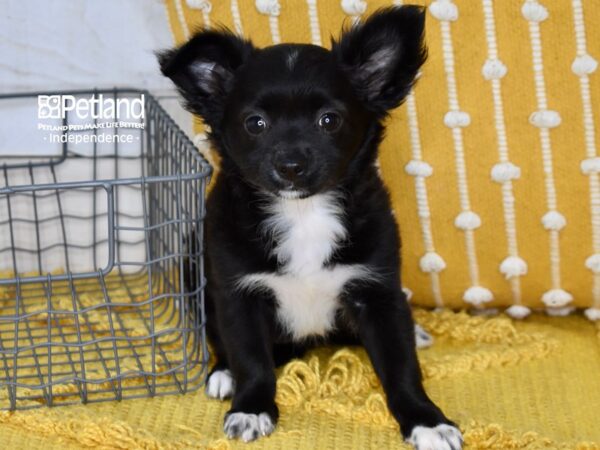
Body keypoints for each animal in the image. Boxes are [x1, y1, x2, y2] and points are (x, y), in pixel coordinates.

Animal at [158, 7, 460, 450]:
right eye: (255, 123)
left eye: (328, 120)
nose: (291, 166)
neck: (302, 214)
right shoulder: (238, 295)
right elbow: (251, 359)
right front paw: (251, 408)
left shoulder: (377, 291)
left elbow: (401, 364)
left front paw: (426, 420)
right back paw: (223, 373)